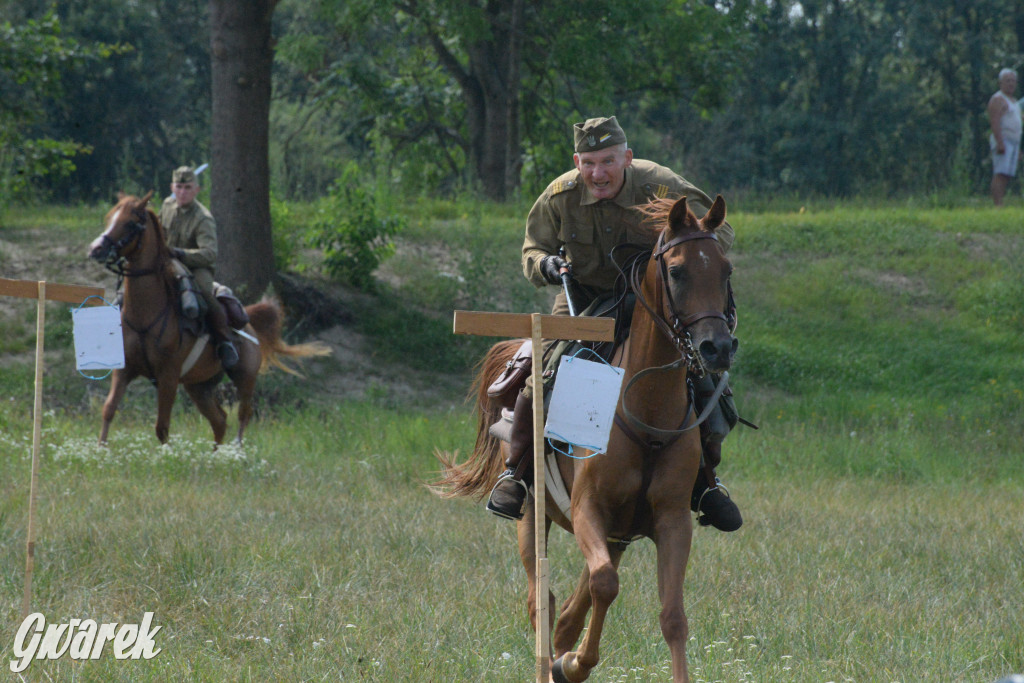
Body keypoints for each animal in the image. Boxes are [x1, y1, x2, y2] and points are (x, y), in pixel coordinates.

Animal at [88, 192, 329, 446]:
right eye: (109, 218)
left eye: (130, 223)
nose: (96, 249)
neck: (146, 315)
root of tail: (249, 324)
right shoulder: (123, 370)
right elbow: (109, 409)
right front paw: (101, 449)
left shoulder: (168, 377)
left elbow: (162, 427)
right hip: (198, 387)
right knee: (220, 420)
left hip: (245, 378)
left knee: (244, 414)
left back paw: (237, 449)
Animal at [434, 193, 737, 683]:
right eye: (677, 271)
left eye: (725, 270)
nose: (718, 348)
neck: (645, 410)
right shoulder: (588, 509)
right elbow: (604, 585)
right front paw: (574, 663)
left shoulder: (672, 521)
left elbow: (671, 615)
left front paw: (574, 657)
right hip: (533, 516)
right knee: (543, 599)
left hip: (617, 531)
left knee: (571, 605)